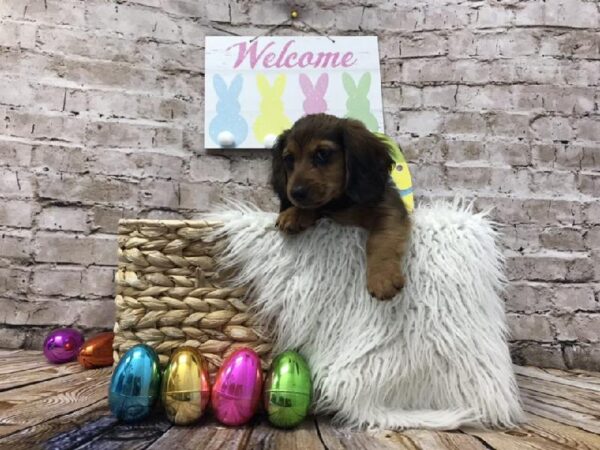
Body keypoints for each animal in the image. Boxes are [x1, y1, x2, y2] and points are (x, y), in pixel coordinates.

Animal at [270, 114, 410, 300]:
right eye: (288, 159)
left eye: (322, 154)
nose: (296, 193)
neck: (343, 203)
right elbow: (318, 207)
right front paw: (294, 213)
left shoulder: (389, 208)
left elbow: (380, 240)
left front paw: (382, 277)